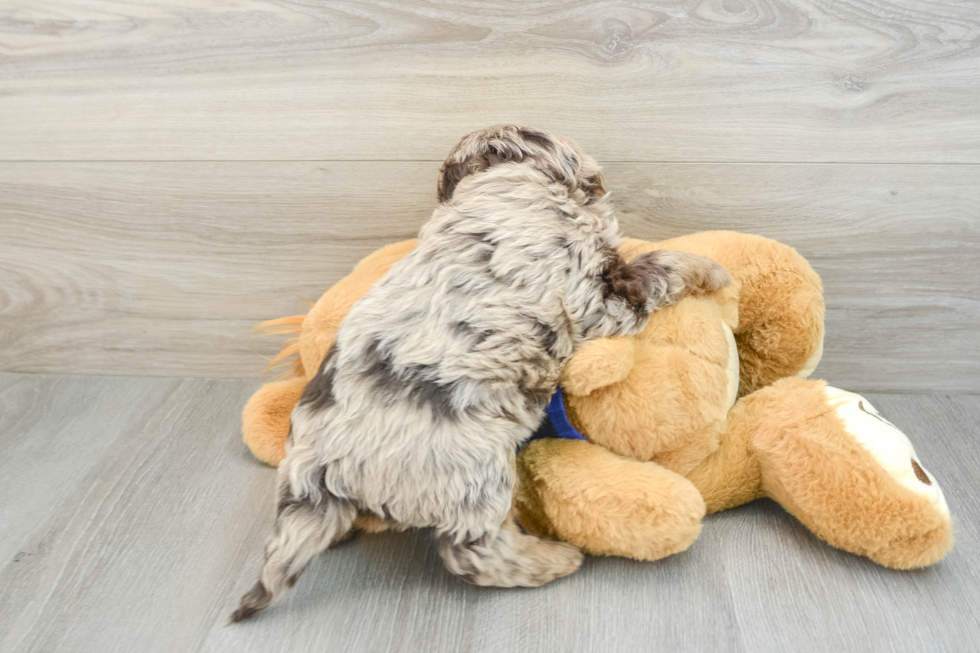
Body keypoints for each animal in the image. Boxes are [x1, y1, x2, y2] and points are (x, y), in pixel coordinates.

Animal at [234, 125, 732, 620]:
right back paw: (554, 559)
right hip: (475, 476)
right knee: (473, 552)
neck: (509, 182)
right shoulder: (595, 296)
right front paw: (711, 270)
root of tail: (320, 468)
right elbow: (655, 267)